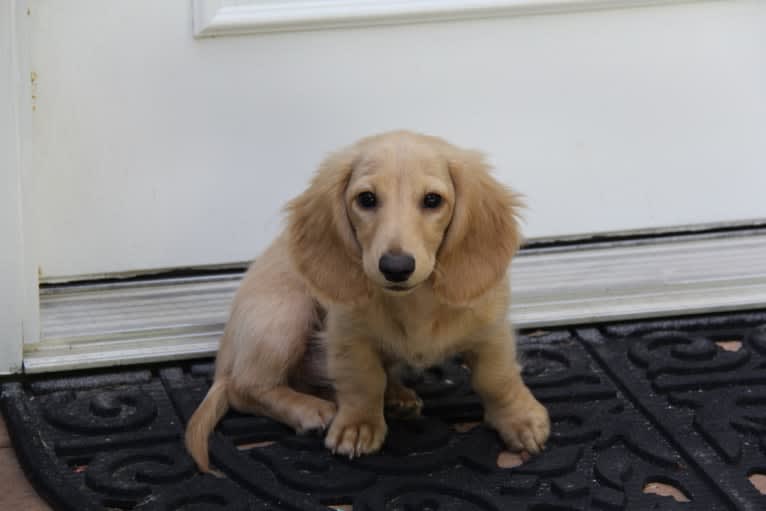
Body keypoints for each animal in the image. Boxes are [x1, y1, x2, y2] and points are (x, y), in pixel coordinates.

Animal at [189, 131, 556, 472]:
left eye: (432, 200)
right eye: (366, 199)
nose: (396, 267)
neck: (415, 302)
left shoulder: (492, 331)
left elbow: (497, 379)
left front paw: (519, 420)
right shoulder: (348, 337)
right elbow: (363, 382)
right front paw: (358, 426)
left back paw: (395, 396)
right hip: (285, 316)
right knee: (246, 387)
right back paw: (310, 408)